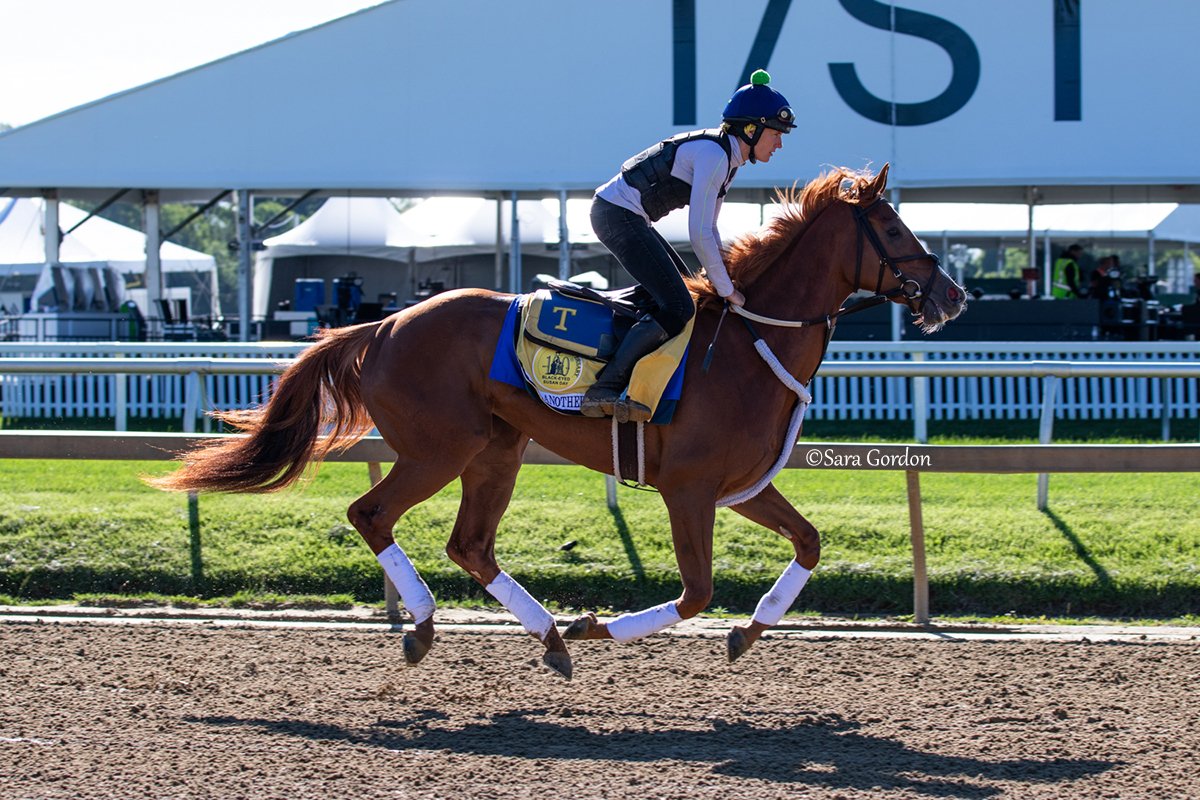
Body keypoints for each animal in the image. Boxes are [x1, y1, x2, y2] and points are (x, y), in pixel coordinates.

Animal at [154, 165, 969, 681]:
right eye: (894, 228)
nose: (954, 295)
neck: (747, 342)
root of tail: (379, 326)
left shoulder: (740, 486)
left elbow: (808, 543)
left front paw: (746, 632)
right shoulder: (689, 490)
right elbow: (696, 592)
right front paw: (598, 625)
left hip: (497, 449)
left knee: (470, 545)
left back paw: (546, 635)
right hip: (438, 449)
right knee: (372, 514)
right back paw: (428, 625)